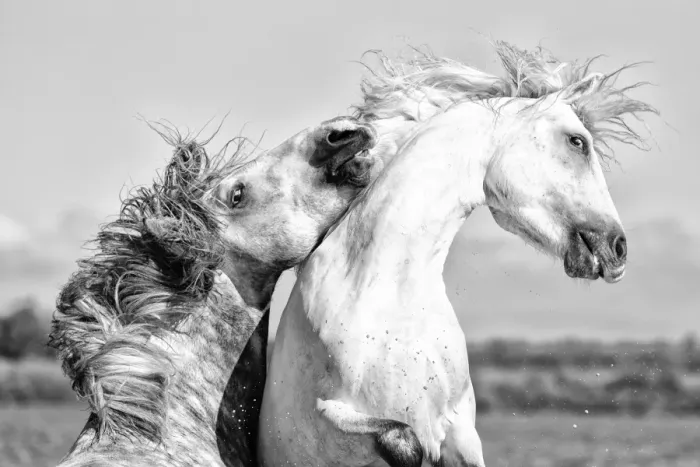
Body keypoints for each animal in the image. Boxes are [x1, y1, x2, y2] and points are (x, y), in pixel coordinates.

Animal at [260, 40, 657, 467]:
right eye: (577, 141)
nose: (618, 248)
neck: (387, 303)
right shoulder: (327, 418)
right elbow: (404, 439)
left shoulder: (461, 430)